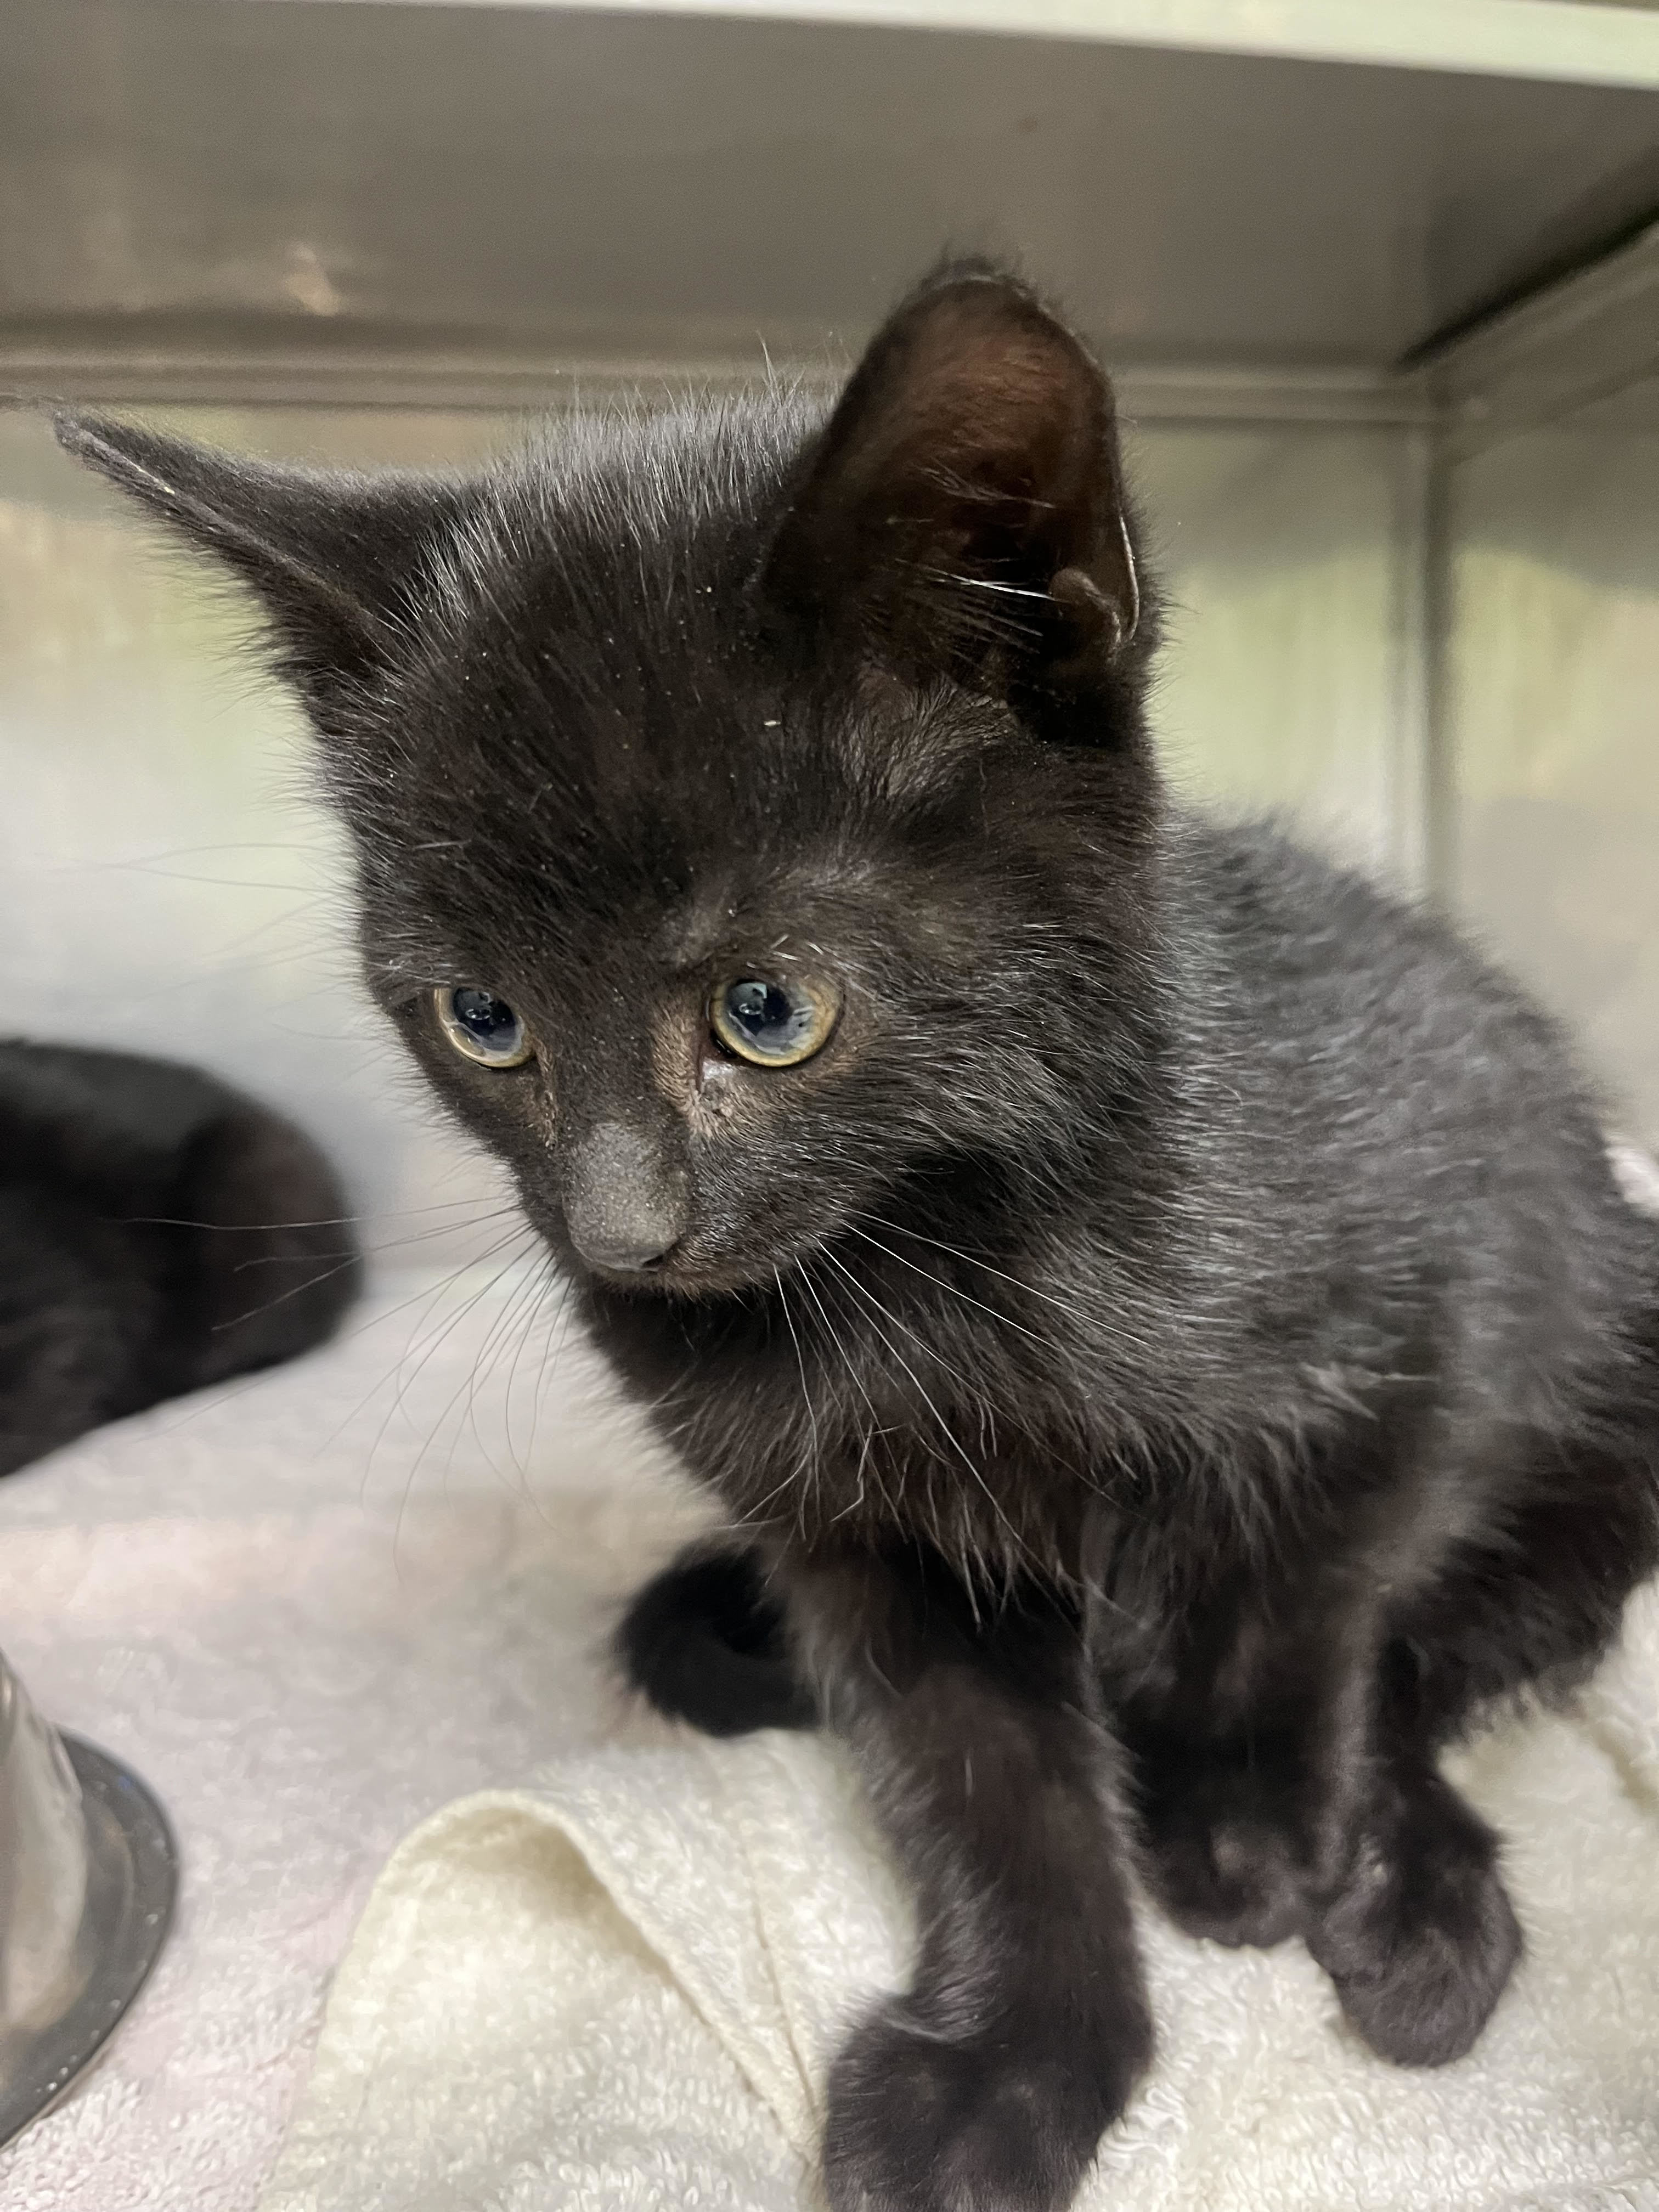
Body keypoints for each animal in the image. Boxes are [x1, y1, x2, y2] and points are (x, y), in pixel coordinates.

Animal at [58, 267, 1659, 2212]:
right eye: (482, 1019)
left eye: (767, 1011)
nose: (622, 1233)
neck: (922, 1264)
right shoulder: (850, 1543)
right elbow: (975, 1787)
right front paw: (1009, 2069)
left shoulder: (1422, 1308)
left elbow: (1309, 1583)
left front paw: (1243, 1807)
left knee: (1447, 1647)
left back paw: (1395, 1892)